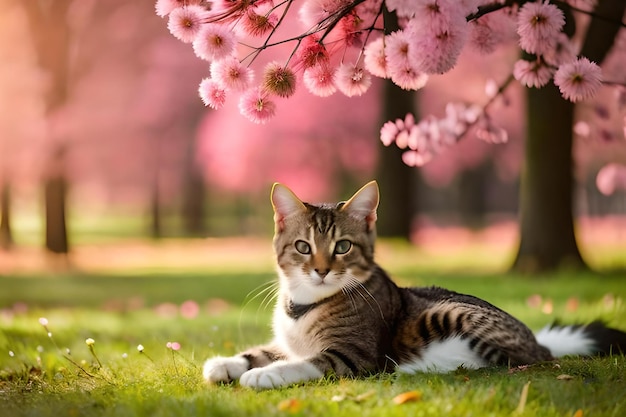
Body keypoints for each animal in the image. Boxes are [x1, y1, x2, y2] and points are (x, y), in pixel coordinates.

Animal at [204, 180, 624, 388]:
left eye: (342, 246)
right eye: (303, 247)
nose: (321, 270)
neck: (305, 303)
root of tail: (540, 342)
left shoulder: (354, 355)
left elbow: (307, 362)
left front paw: (263, 374)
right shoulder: (286, 341)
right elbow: (266, 350)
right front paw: (228, 364)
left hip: (454, 315)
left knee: (498, 362)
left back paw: (416, 368)